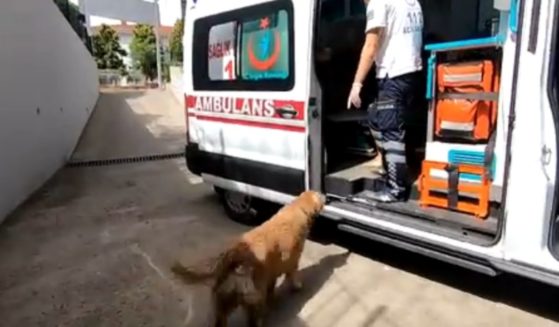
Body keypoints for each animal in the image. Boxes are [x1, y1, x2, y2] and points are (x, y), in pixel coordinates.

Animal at [173, 191, 326, 326]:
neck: (298, 207)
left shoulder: (272, 269)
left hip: (224, 297)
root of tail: (233, 255)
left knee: (221, 319)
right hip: (253, 296)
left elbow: (272, 284)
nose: (327, 196)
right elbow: (292, 274)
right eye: (319, 194)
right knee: (254, 319)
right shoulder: (292, 260)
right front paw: (297, 286)